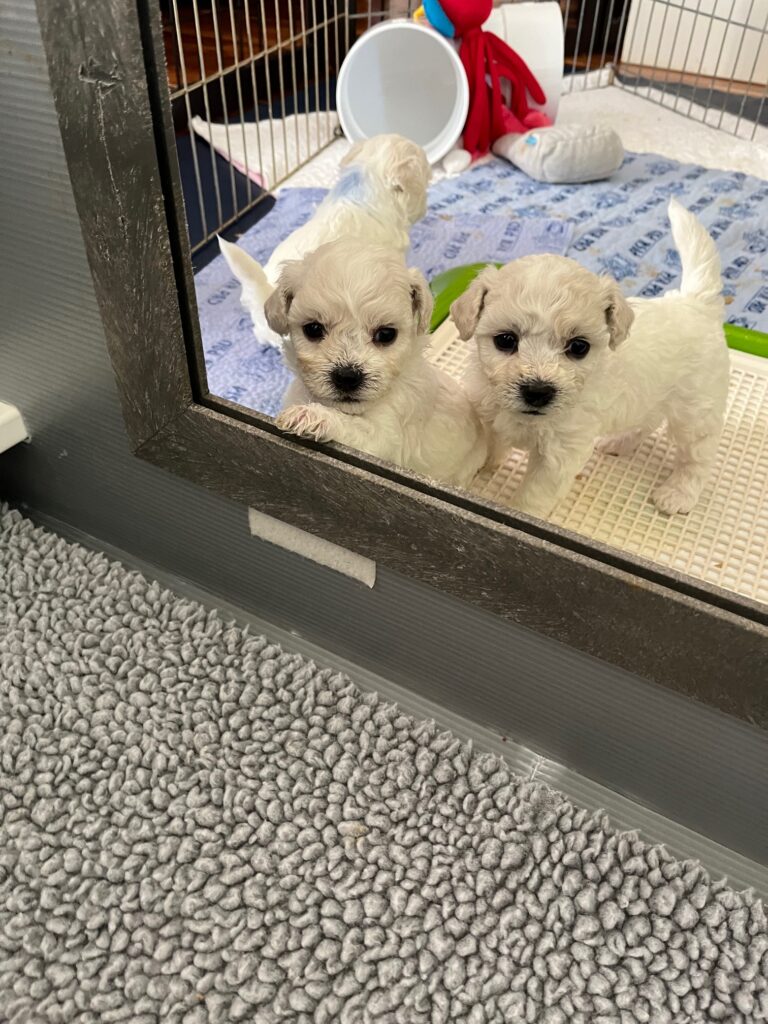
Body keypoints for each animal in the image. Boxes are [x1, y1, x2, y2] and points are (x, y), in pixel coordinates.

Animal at [268, 237, 489, 485]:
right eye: (313, 329)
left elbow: (353, 428)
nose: (347, 377)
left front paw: (312, 415)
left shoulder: (384, 437)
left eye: (386, 334)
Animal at [454, 197, 729, 520]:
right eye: (506, 340)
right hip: (649, 396)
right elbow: (490, 443)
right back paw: (619, 442)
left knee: (699, 453)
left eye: (579, 347)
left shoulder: (558, 456)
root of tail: (697, 303)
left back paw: (678, 493)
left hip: (696, 409)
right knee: (646, 422)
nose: (538, 392)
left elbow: (531, 498)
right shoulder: (487, 412)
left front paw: (517, 513)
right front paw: (484, 465)